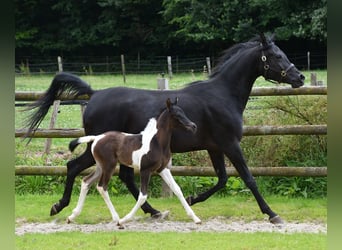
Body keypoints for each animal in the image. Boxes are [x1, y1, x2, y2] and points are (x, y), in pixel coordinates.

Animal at [66, 98, 200, 226]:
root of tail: (97, 137)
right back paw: (116, 218)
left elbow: (177, 189)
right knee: (102, 187)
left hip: (100, 166)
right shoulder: (145, 170)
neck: (157, 143)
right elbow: (143, 196)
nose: (193, 126)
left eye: (183, 112)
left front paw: (195, 218)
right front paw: (124, 220)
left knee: (86, 181)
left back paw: (72, 216)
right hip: (109, 166)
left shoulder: (163, 169)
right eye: (176, 115)